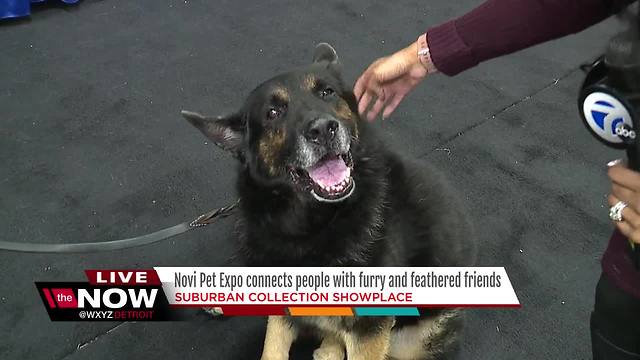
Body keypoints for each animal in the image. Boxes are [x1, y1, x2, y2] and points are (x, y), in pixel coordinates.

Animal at [180, 43, 476, 358]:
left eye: (327, 92)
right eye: (273, 112)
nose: (323, 129)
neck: (313, 223)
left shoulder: (369, 327)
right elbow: (272, 346)